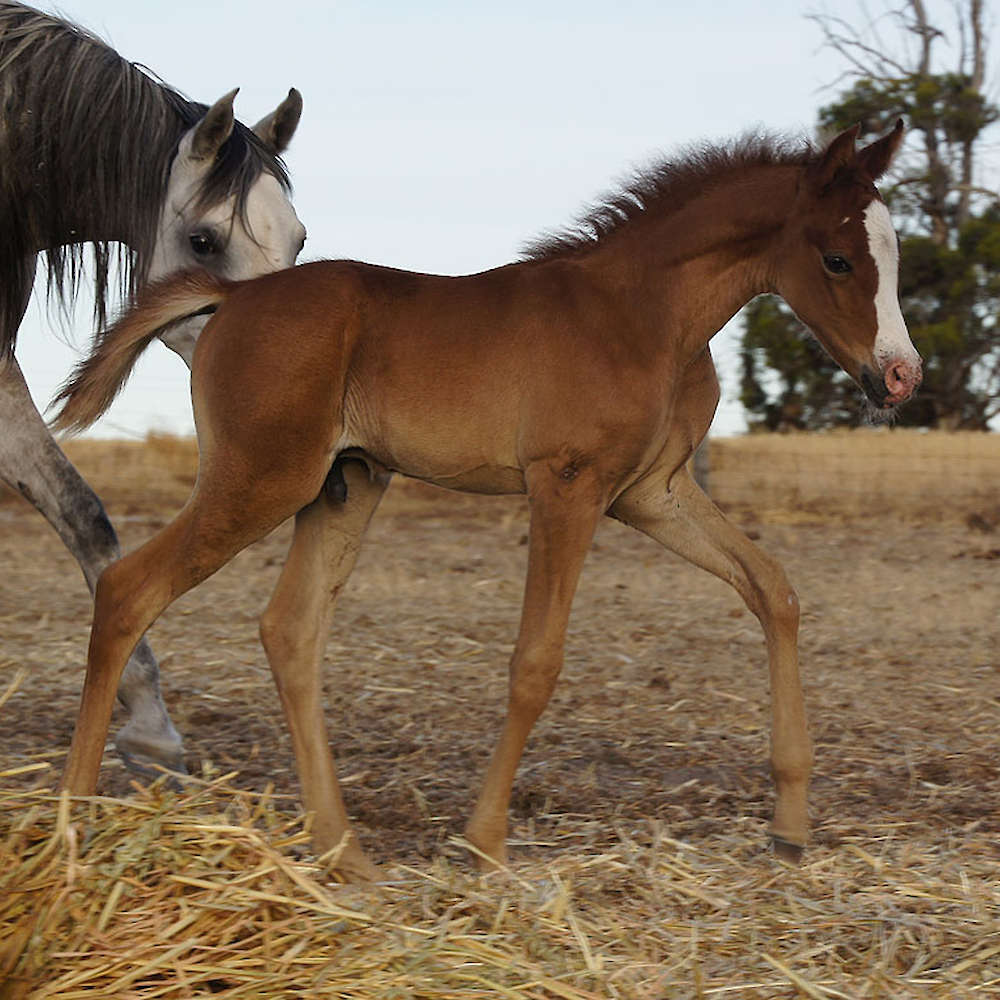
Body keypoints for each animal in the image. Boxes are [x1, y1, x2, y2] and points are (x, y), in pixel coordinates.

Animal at [52, 122, 921, 881]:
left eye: (893, 255)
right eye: (838, 260)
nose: (900, 375)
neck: (644, 312)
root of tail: (232, 299)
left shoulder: (653, 493)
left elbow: (773, 588)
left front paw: (792, 824)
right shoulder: (566, 485)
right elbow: (536, 661)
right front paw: (483, 842)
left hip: (346, 484)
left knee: (289, 630)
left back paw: (344, 853)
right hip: (260, 479)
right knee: (129, 589)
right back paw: (72, 827)